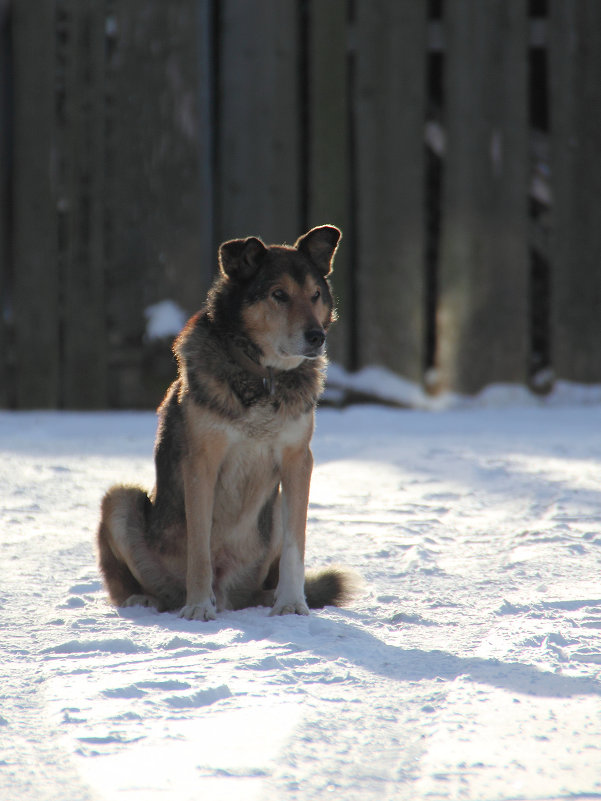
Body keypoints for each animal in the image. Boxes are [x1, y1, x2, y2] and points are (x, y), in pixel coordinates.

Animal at [96, 223, 354, 620]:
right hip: (120, 500)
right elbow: (199, 546)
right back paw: (146, 600)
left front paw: (291, 604)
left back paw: (267, 597)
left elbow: (296, 546)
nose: (317, 337)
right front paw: (199, 608)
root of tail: (229, 591)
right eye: (278, 295)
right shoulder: (202, 460)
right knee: (134, 584)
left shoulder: (298, 460)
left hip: (271, 518)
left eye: (315, 295)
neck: (263, 377)